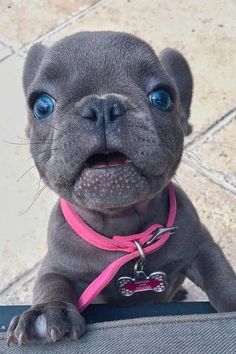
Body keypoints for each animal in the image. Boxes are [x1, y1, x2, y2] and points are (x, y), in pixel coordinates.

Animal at [7, 31, 236, 346]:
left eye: (162, 97)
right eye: (42, 105)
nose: (102, 106)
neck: (125, 231)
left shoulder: (201, 246)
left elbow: (220, 275)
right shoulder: (56, 264)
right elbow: (50, 281)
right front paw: (47, 311)